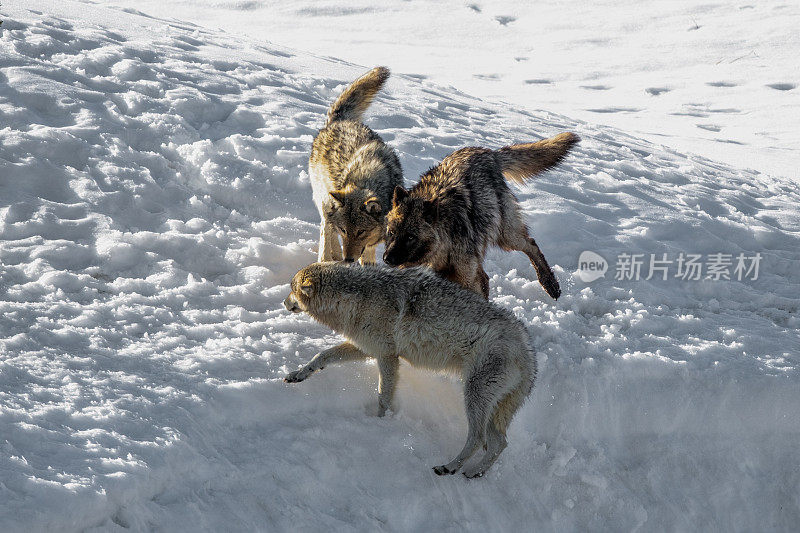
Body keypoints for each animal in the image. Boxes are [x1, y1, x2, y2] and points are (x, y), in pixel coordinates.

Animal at [282, 262, 536, 478]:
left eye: (292, 290)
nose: (283, 303)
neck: (355, 298)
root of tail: (528, 351)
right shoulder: (367, 348)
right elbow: (322, 356)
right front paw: (298, 374)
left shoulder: (386, 356)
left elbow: (383, 396)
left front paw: (380, 422)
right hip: (493, 408)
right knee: (499, 443)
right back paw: (476, 472)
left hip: (474, 397)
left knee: (477, 438)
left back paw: (449, 467)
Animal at [310, 66, 404, 264]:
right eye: (345, 230)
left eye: (361, 232)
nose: (348, 260)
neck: (369, 179)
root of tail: (339, 120)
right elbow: (329, 231)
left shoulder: (371, 243)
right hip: (325, 198)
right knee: (326, 226)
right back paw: (329, 256)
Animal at [384, 132, 580, 300]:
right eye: (392, 233)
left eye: (410, 237)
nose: (387, 258)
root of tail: (488, 152)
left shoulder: (470, 279)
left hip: (507, 237)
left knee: (531, 244)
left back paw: (550, 284)